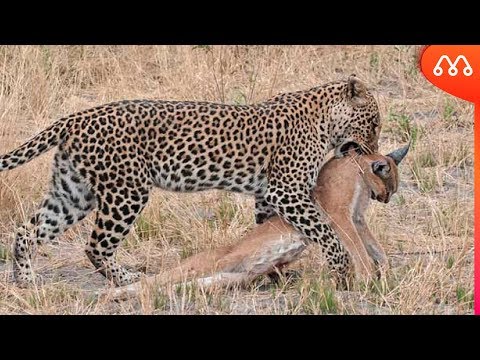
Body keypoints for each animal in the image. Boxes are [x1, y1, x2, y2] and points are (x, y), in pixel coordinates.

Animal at [0, 74, 382, 286]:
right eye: (375, 123)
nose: (375, 152)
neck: (326, 122)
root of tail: (76, 117)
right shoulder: (286, 190)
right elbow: (325, 231)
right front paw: (342, 268)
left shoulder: (267, 194)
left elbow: (265, 230)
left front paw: (275, 272)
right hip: (126, 191)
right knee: (96, 245)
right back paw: (125, 279)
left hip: (74, 192)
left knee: (28, 230)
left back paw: (26, 280)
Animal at [102, 143, 408, 298]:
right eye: (390, 186)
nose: (386, 199)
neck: (358, 172)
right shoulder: (340, 215)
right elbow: (359, 250)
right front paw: (368, 280)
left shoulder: (356, 218)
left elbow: (375, 247)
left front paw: (386, 272)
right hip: (208, 263)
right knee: (156, 280)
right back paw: (106, 295)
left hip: (223, 279)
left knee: (176, 286)